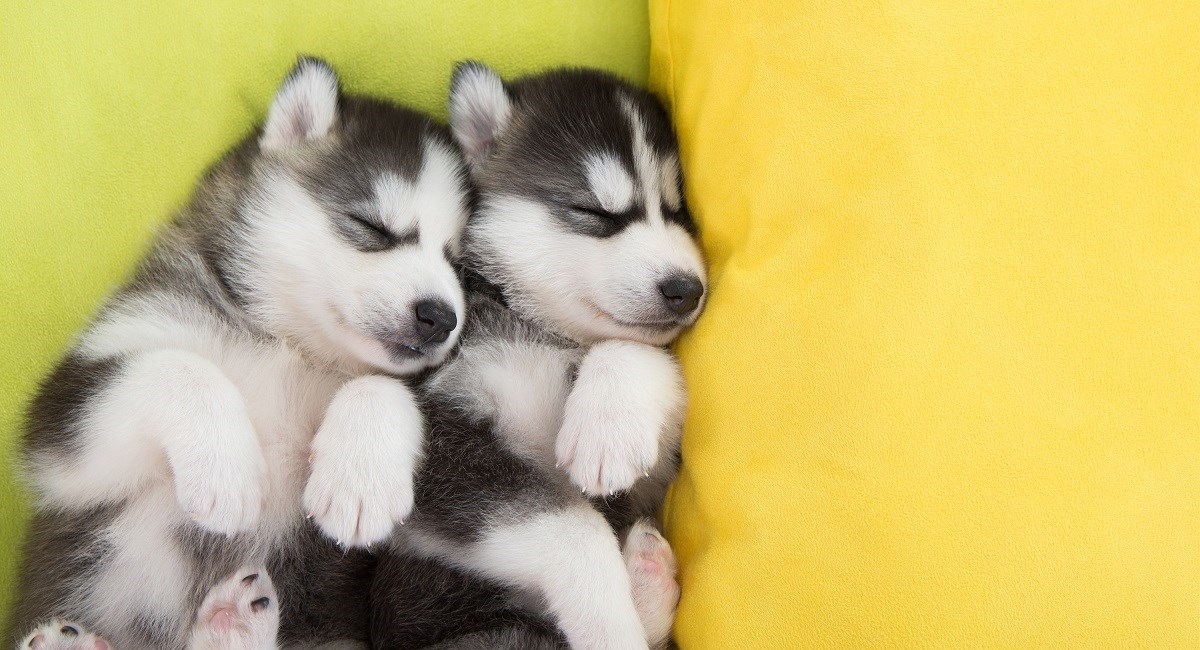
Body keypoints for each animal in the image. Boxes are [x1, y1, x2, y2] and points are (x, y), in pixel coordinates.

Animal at [8, 57, 468, 650]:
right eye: (372, 228)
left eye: (458, 262)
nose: (441, 317)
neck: (287, 346)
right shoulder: (65, 437)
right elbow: (179, 367)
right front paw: (227, 471)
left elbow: (381, 384)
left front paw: (360, 478)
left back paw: (231, 621)